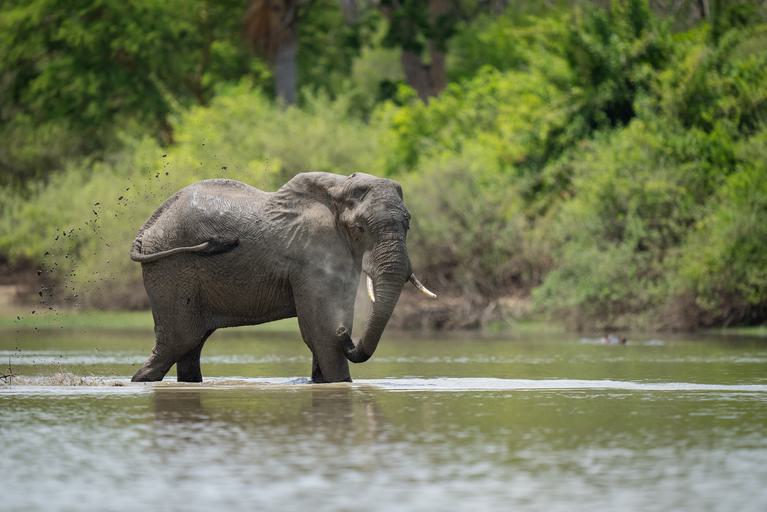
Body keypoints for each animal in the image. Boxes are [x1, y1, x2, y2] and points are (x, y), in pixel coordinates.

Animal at [129, 172, 436, 383]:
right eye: (361, 227)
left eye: (408, 224)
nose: (347, 334)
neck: (339, 189)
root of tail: (148, 226)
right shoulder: (312, 257)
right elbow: (320, 332)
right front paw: (337, 353)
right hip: (172, 269)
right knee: (178, 341)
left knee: (191, 346)